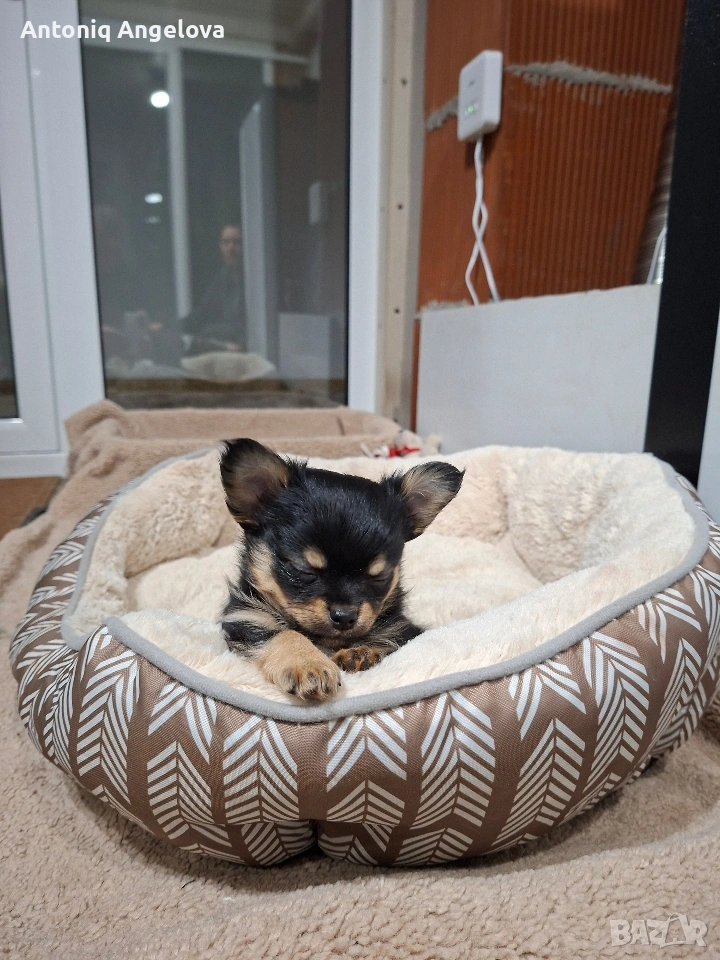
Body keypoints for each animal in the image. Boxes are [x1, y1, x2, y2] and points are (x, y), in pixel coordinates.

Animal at [219, 438, 463, 701]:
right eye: (302, 569)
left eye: (380, 576)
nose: (344, 616)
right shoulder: (245, 618)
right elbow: (284, 634)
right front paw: (308, 663)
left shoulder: (404, 630)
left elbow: (388, 640)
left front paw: (360, 652)